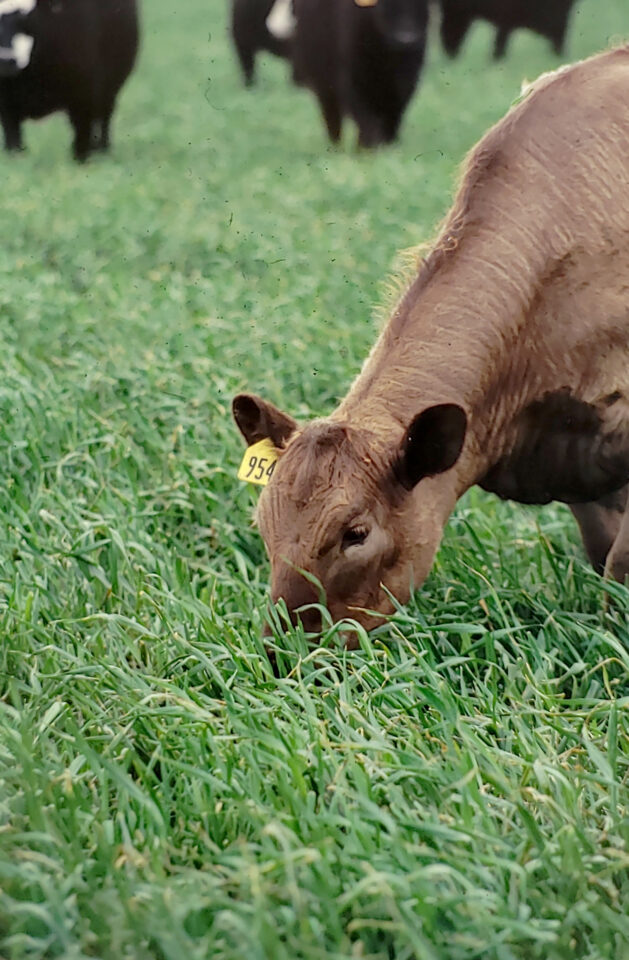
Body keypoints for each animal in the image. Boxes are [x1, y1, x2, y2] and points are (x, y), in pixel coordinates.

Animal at [0, 0, 138, 162]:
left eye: (27, 20)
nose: (5, 60)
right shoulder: (6, 102)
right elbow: (12, 135)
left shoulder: (83, 91)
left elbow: (82, 129)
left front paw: (82, 159)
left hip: (109, 88)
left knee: (104, 117)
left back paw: (102, 150)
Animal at [292, 0, 430, 147]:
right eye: (384, 3)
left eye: (424, 4)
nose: (405, 39)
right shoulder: (352, 82)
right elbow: (366, 120)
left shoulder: (407, 82)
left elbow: (394, 116)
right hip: (323, 84)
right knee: (333, 120)